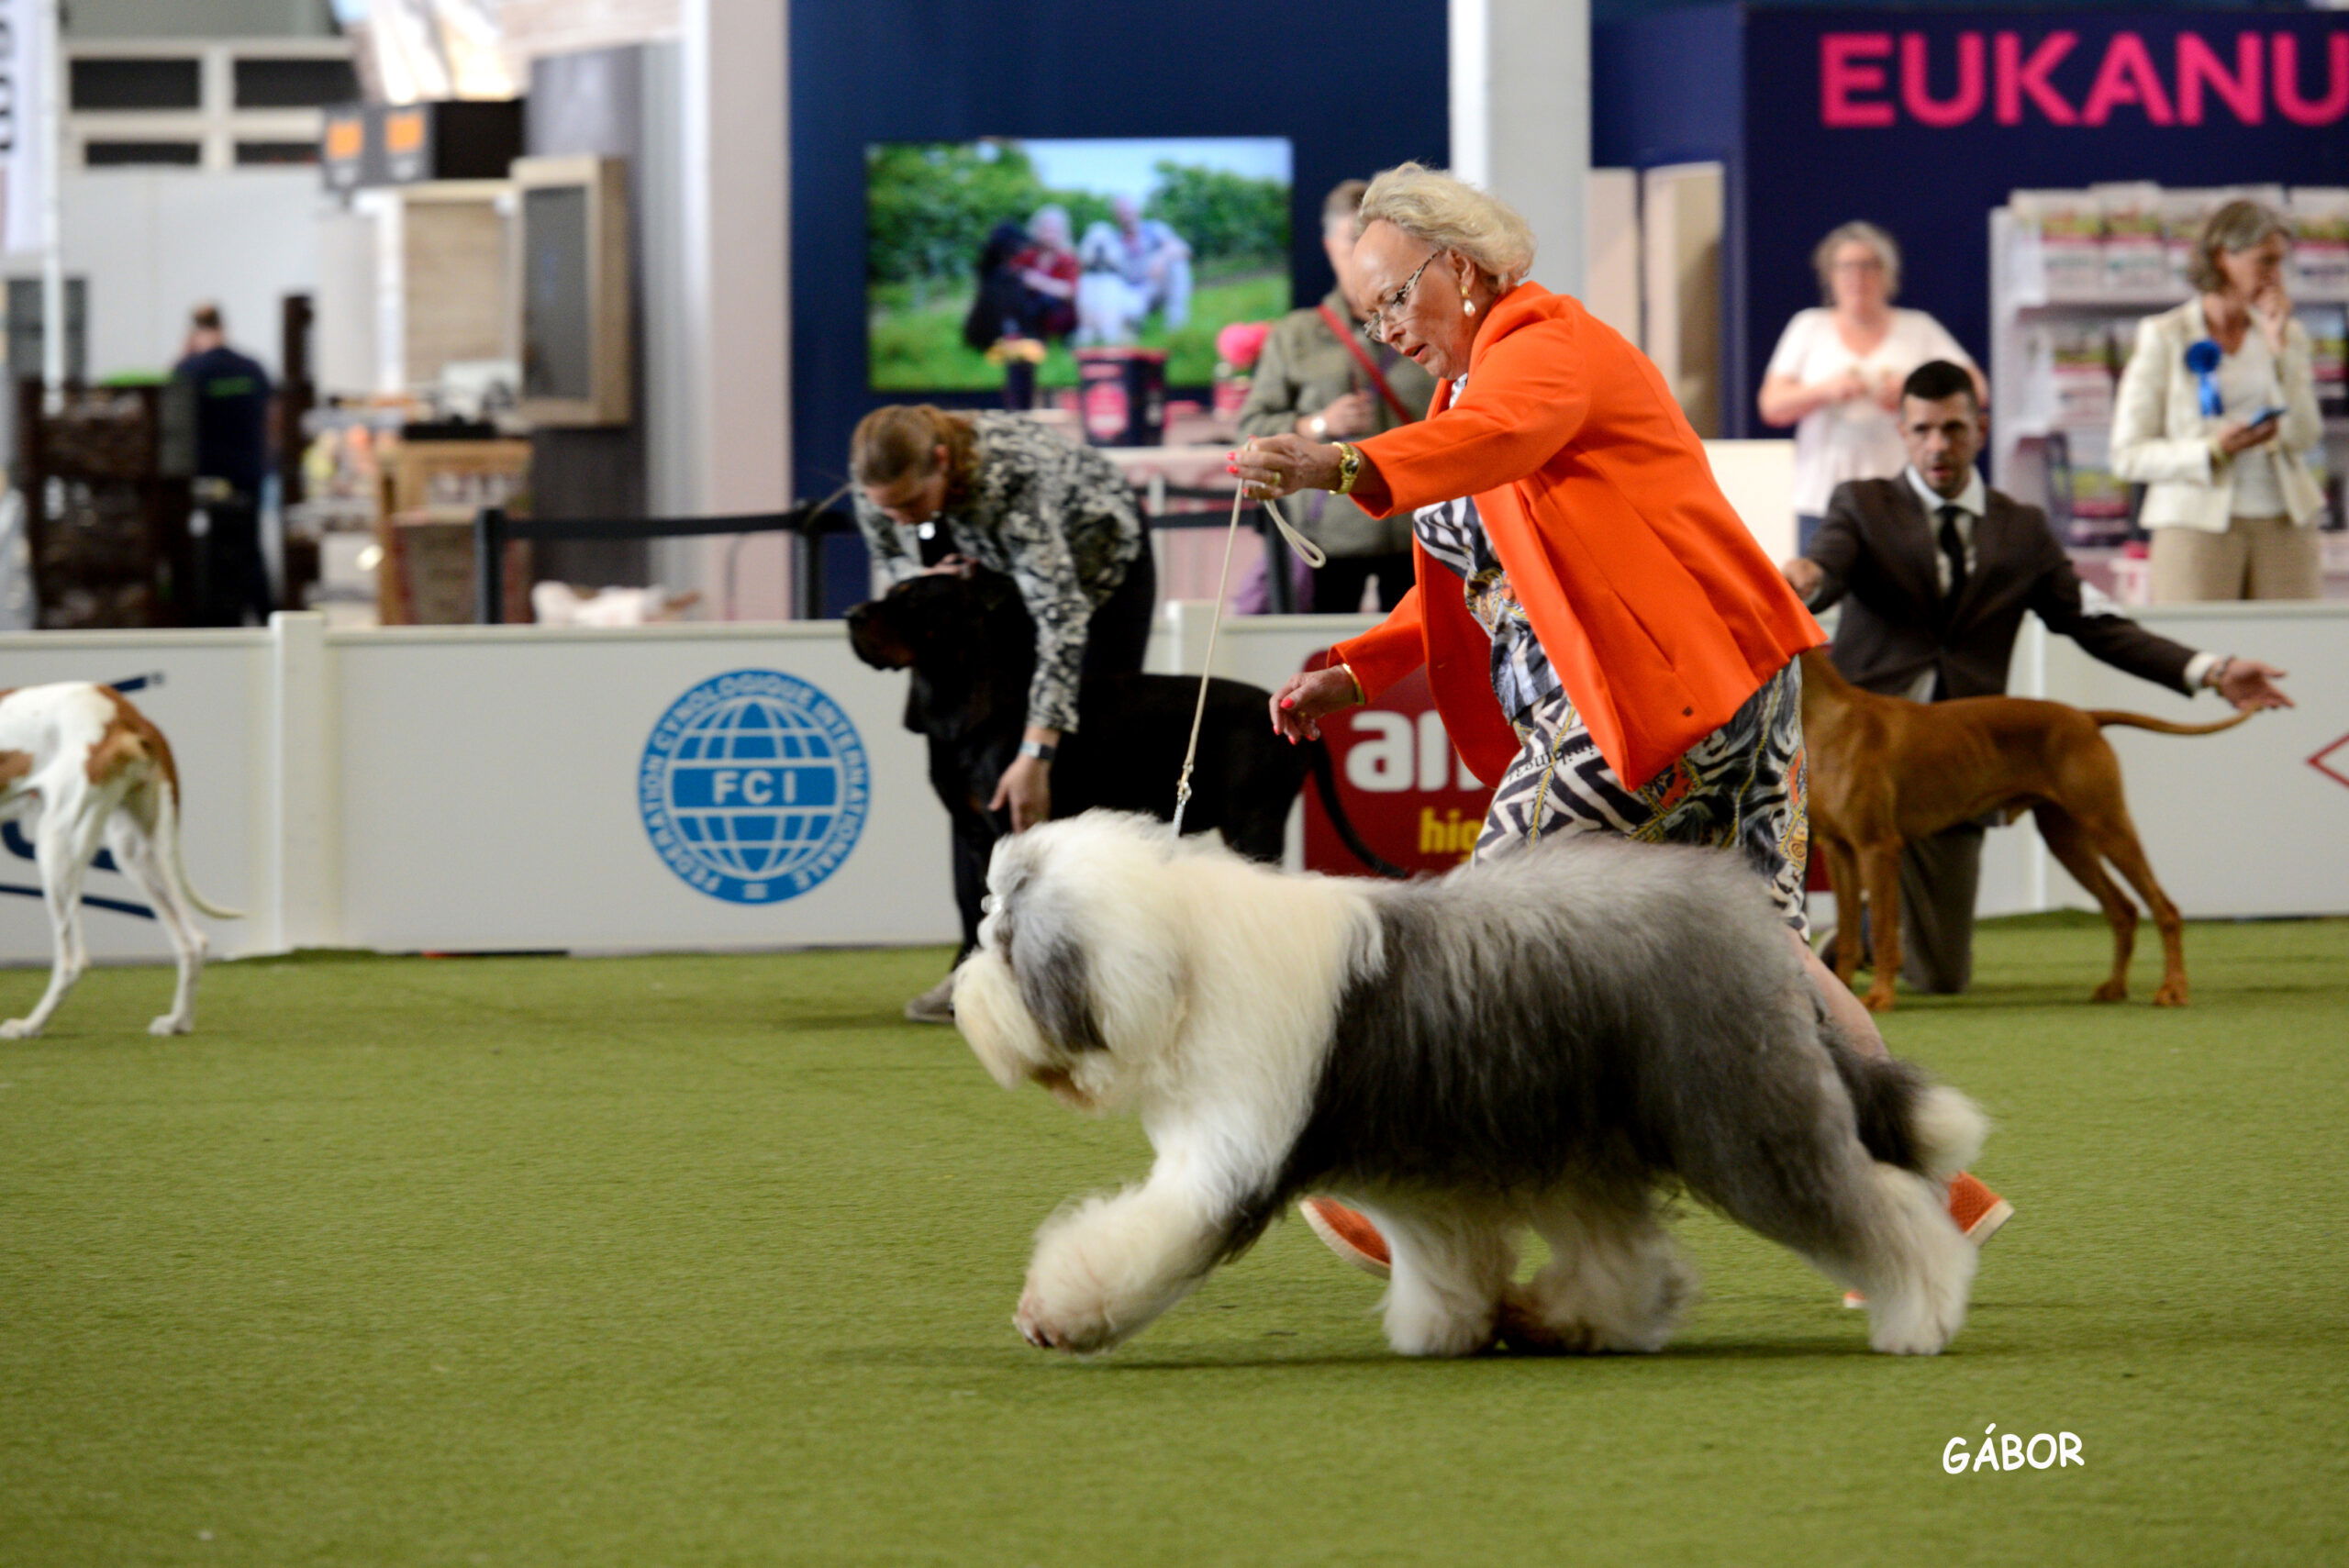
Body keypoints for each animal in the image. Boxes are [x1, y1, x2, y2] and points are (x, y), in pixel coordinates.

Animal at [0, 683, 242, 1037]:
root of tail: (126, 712)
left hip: (56, 843)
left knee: (73, 960)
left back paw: (29, 1026)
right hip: (136, 853)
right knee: (193, 941)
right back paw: (177, 1022)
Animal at [844, 569, 1401, 873]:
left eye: (916, 600)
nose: (851, 615)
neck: (962, 706)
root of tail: (1292, 714)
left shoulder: (1011, 823)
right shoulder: (975, 831)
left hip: (1254, 821)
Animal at [952, 811, 1987, 1359]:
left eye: (1002, 941)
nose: (957, 998)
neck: (1182, 963)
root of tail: (1755, 925)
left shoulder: (1225, 1155)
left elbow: (1136, 1239)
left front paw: (1054, 1313)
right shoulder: (1420, 1170)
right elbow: (1441, 1253)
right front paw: (1446, 1323)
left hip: (1743, 1113)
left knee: (1872, 1206)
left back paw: (1920, 1312)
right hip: (1583, 1136)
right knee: (1627, 1259)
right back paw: (1563, 1317)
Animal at [1800, 648, 2251, 1012]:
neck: (1828, 720)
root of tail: (2086, 717)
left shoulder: (1877, 846)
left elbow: (1880, 928)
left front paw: (1878, 997)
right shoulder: (1839, 850)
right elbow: (1847, 936)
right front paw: (1839, 993)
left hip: (2108, 824)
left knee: (2165, 909)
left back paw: (2173, 989)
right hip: (2067, 839)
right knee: (2123, 910)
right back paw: (2115, 987)